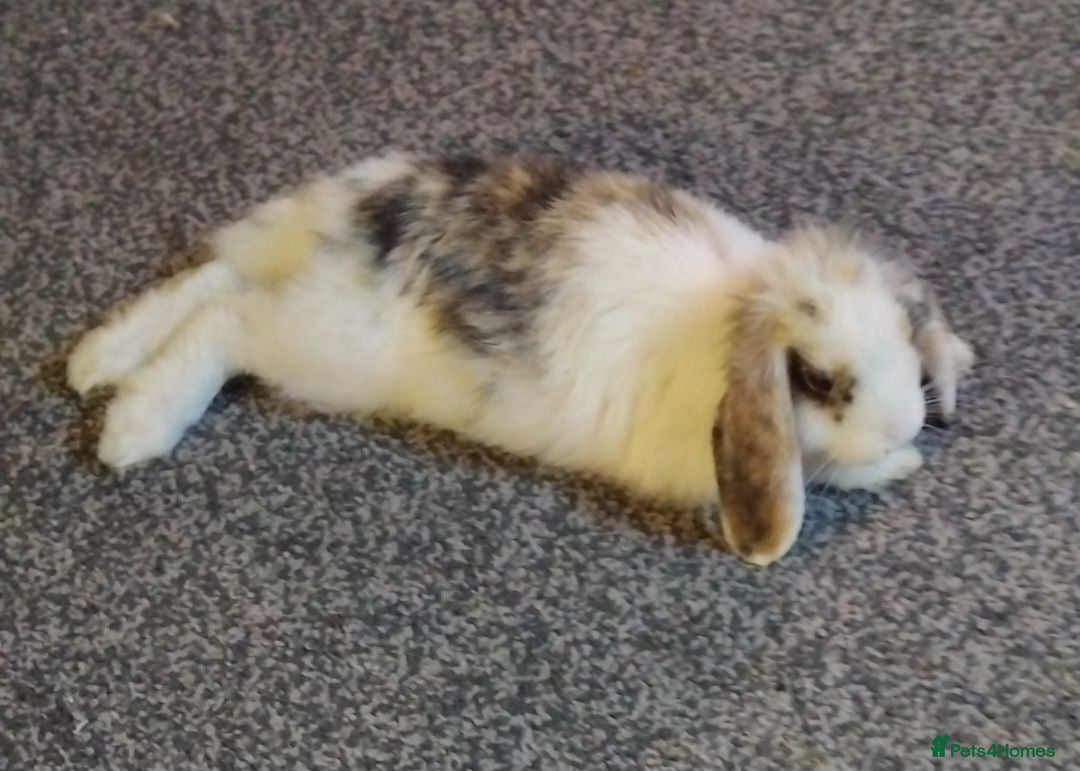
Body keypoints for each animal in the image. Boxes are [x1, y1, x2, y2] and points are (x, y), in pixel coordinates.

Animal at [67, 152, 975, 565]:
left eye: (906, 334)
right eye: (818, 380)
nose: (906, 420)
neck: (731, 314)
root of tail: (357, 213)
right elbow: (825, 474)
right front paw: (898, 462)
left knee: (213, 280)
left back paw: (95, 359)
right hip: (321, 345)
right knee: (229, 320)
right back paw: (135, 426)